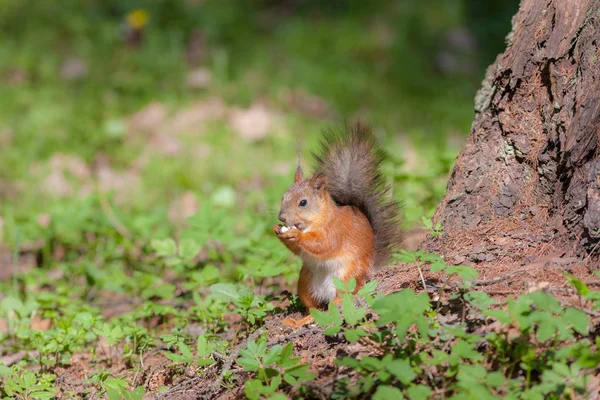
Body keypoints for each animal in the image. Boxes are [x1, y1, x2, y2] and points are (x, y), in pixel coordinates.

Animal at [274, 122, 404, 328]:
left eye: (303, 202)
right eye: (283, 196)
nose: (282, 218)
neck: (316, 221)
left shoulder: (336, 230)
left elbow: (324, 245)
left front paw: (295, 235)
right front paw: (277, 231)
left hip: (348, 275)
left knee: (344, 296)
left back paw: (334, 301)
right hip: (305, 281)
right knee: (315, 307)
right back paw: (301, 320)